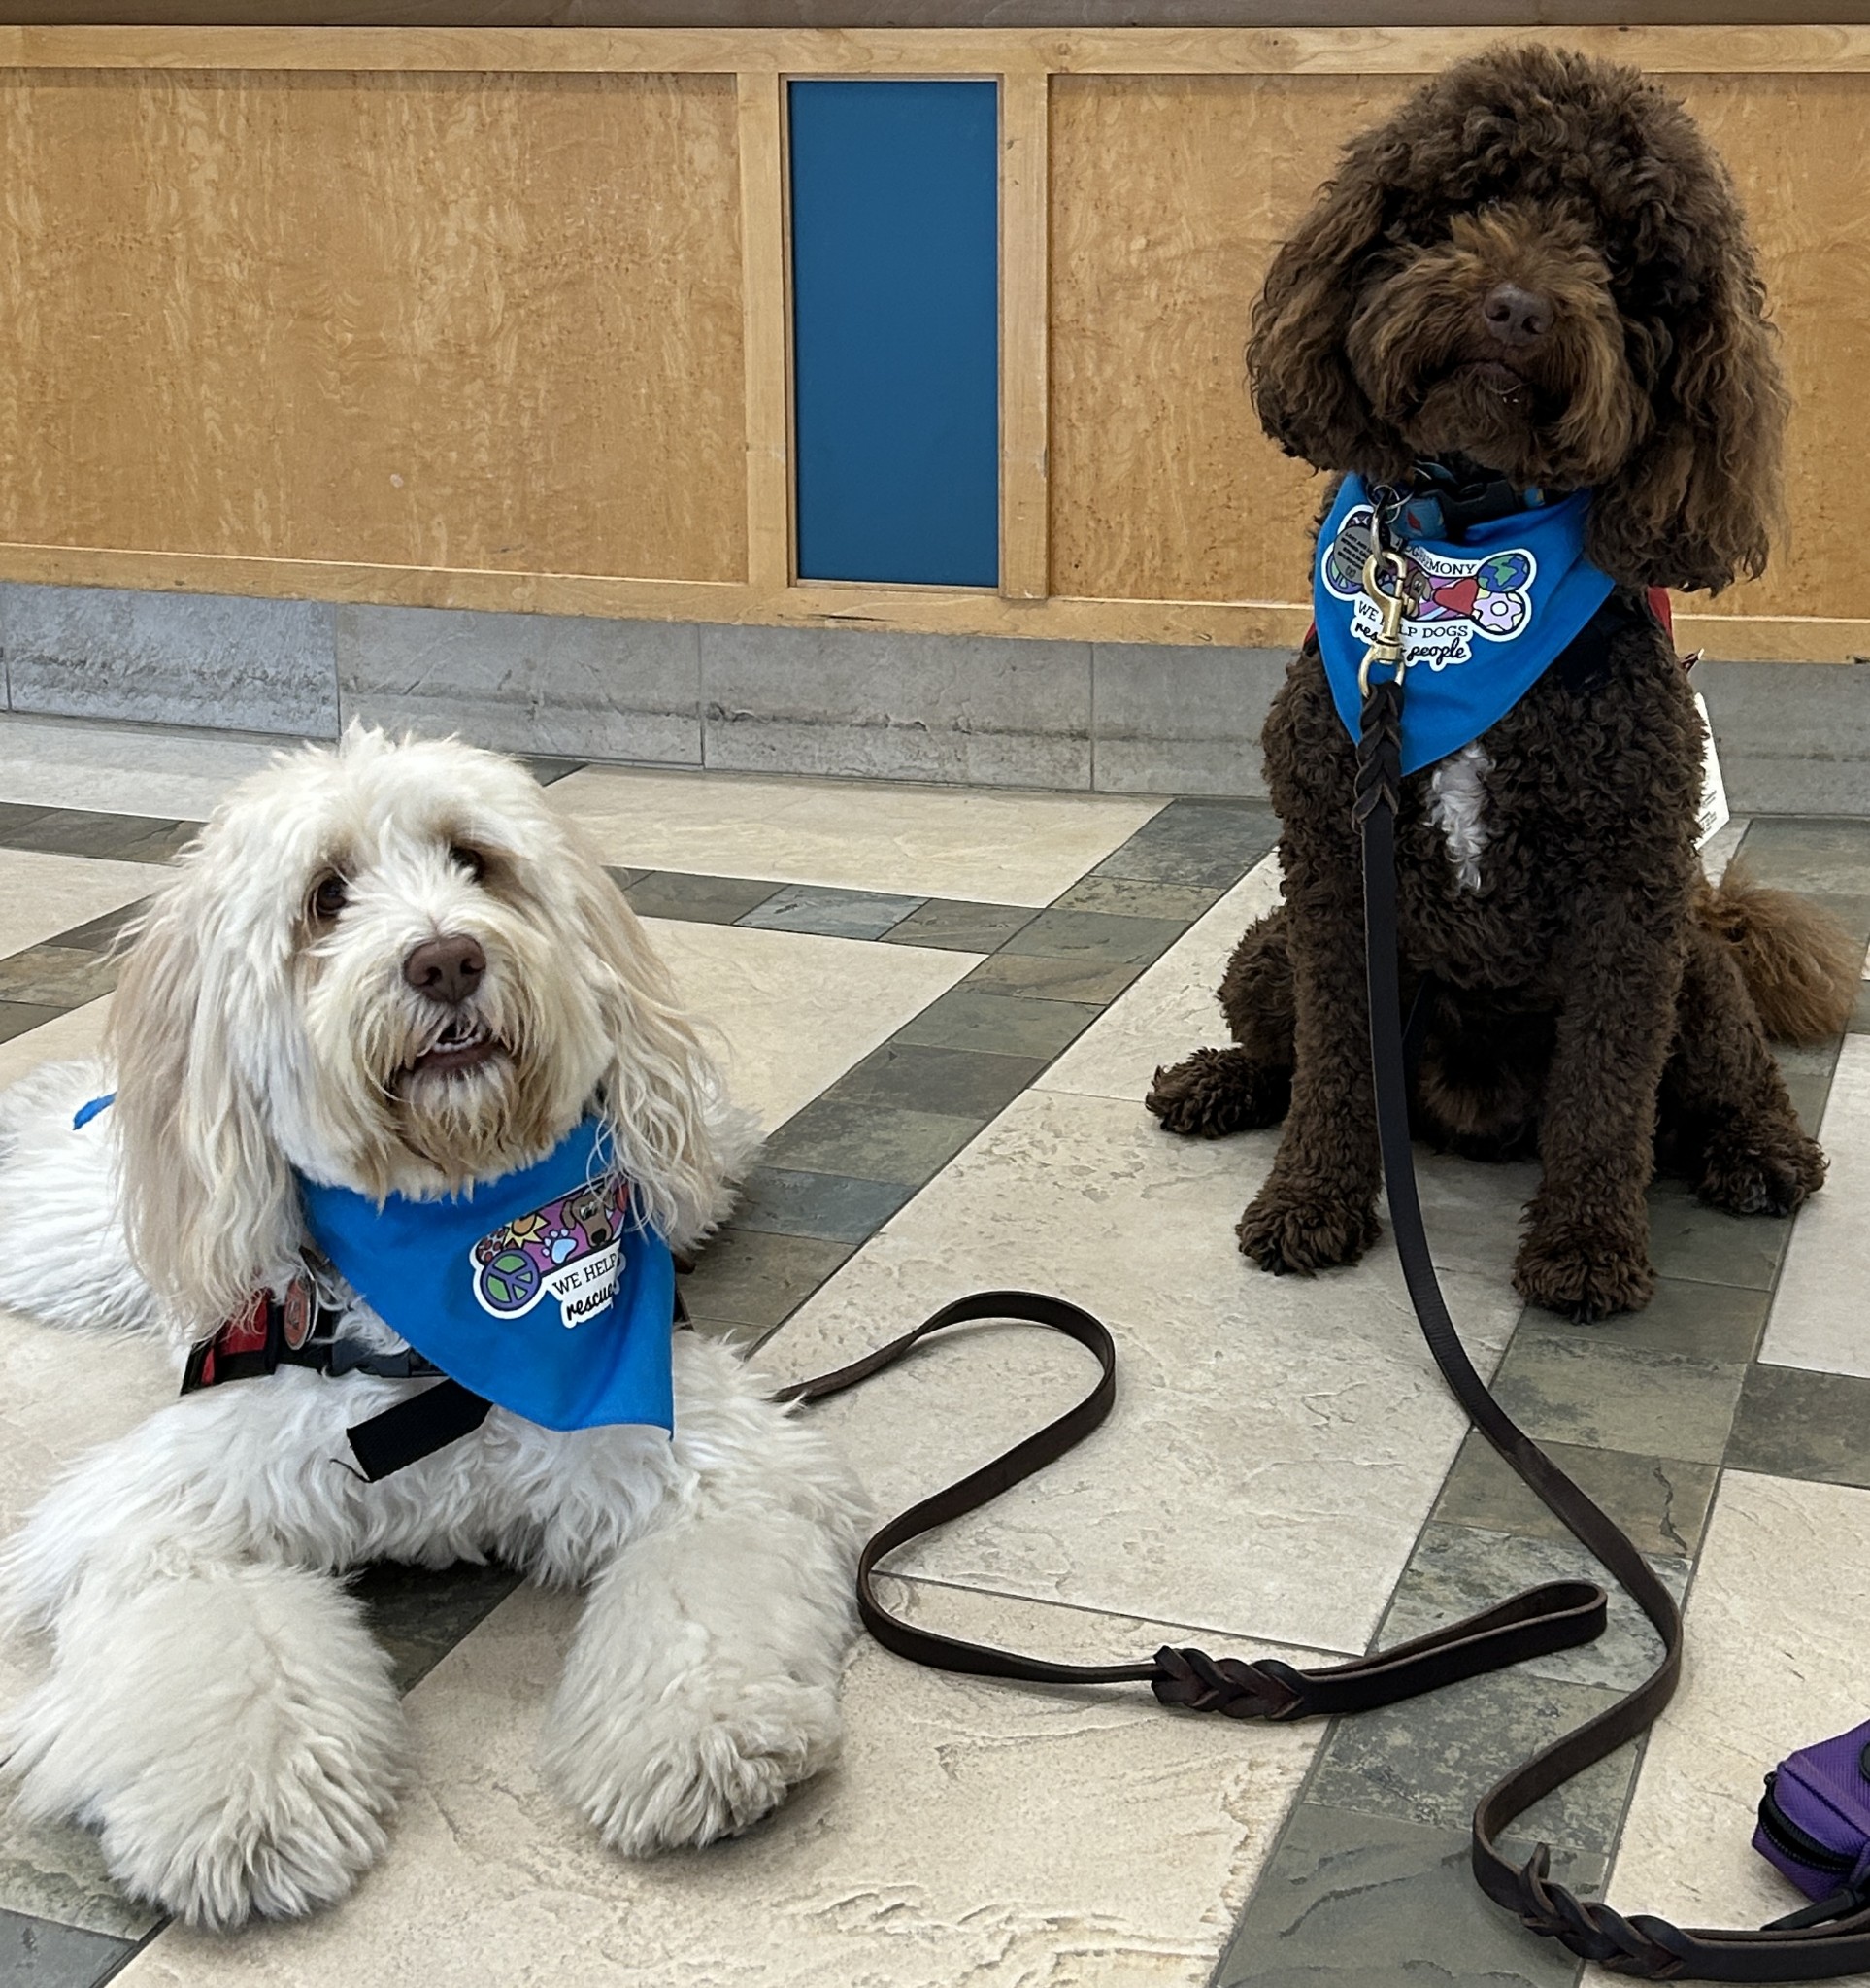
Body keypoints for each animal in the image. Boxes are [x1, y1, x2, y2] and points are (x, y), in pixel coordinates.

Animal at [0, 727, 866, 1924]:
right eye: (325, 896)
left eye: (475, 860)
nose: (447, 959)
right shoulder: (172, 1510)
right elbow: (220, 1640)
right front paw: (247, 1800)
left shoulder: (696, 1450)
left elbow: (699, 1594)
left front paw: (704, 1732)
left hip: (696, 1158)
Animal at [1144, 43, 1859, 1320]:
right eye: (1464, 202)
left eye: (1623, 258)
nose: (1517, 308)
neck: (1463, 549)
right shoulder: (1332, 869)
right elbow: (1336, 1066)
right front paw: (1311, 1202)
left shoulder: (1628, 895)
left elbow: (1606, 1099)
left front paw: (1584, 1250)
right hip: (1269, 945)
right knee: (1289, 1053)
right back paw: (1220, 1084)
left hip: (1693, 962)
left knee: (1726, 1081)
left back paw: (1760, 1153)